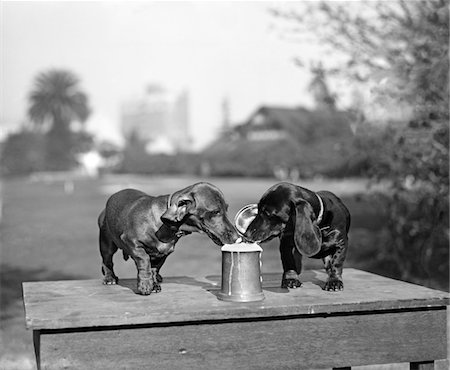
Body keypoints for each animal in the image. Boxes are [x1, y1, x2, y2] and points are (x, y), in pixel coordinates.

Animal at [98, 182, 239, 294]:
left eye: (226, 209)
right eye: (215, 212)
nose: (237, 237)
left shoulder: (164, 253)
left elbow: (154, 268)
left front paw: (154, 283)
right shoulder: (131, 242)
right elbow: (144, 260)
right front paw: (145, 284)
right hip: (107, 243)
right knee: (107, 261)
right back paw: (110, 278)